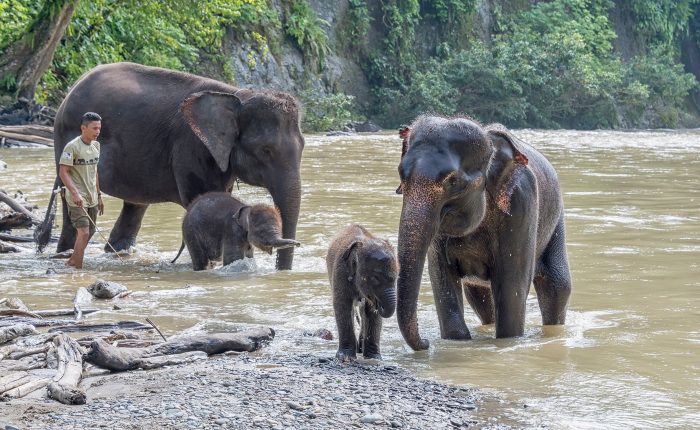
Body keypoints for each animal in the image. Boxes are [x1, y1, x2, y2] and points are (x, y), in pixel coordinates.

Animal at [46, 61, 304, 268]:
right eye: (266, 150)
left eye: (302, 147)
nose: (281, 271)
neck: (235, 94)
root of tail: (72, 89)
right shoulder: (191, 147)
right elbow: (204, 197)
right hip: (66, 137)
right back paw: (66, 253)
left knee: (135, 204)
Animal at [328, 223, 400, 362]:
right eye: (375, 278)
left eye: (397, 277)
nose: (378, 304)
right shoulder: (340, 271)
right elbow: (342, 305)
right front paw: (345, 357)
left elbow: (371, 312)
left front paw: (374, 358)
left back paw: (360, 348)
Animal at [396, 116, 572, 352]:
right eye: (401, 176)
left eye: (453, 182)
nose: (425, 343)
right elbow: (442, 278)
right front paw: (457, 342)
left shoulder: (521, 203)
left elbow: (511, 287)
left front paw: (508, 342)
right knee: (478, 296)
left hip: (556, 221)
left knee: (557, 286)